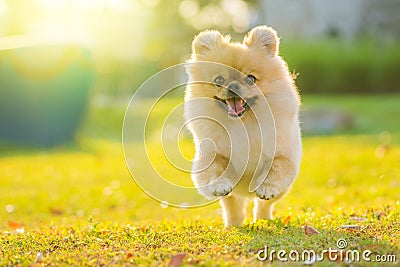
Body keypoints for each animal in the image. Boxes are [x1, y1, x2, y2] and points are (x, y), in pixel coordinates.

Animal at [184, 25, 300, 227]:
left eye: (251, 79)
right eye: (219, 80)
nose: (233, 86)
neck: (243, 124)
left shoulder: (283, 155)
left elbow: (276, 168)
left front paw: (266, 188)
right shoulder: (212, 155)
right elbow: (213, 171)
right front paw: (220, 184)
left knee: (263, 205)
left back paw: (262, 219)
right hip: (233, 197)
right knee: (233, 207)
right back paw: (233, 225)